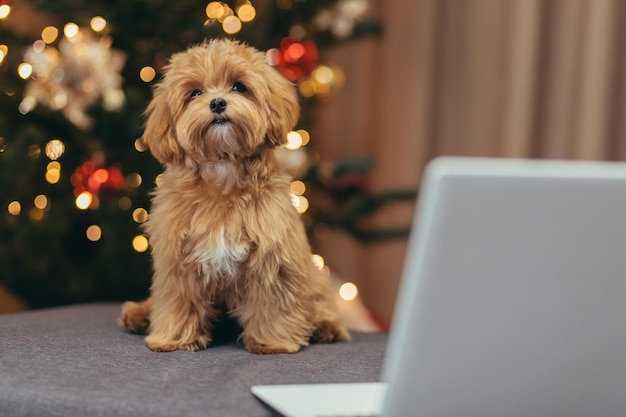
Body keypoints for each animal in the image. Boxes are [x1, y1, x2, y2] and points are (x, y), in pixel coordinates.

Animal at [118, 39, 352, 352]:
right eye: (195, 92)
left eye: (239, 87)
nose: (217, 102)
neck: (223, 172)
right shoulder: (178, 261)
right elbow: (177, 301)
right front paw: (174, 338)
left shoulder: (273, 257)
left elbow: (273, 302)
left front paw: (272, 341)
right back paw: (139, 315)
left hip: (311, 275)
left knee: (319, 302)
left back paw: (326, 327)